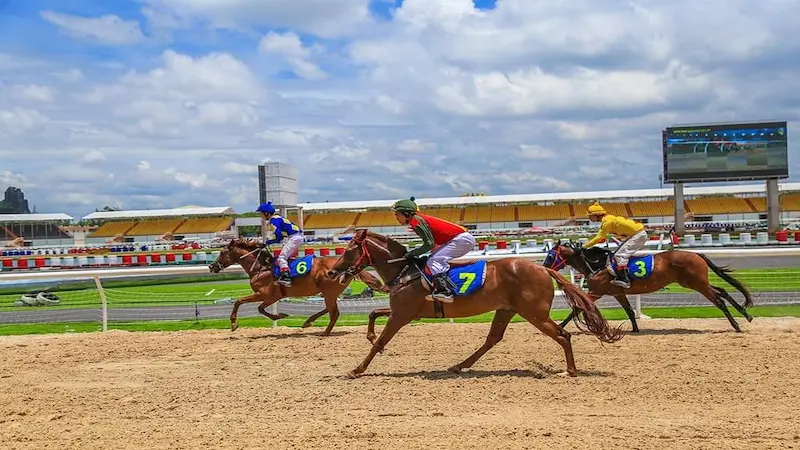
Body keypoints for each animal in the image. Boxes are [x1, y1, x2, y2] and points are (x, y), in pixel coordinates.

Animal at [208, 239, 388, 335]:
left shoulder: (267, 295)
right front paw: (280, 315)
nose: (211, 266)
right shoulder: (271, 297)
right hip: (329, 291)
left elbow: (241, 301)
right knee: (329, 309)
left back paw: (324, 332)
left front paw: (234, 324)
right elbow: (258, 308)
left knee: (334, 313)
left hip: (329, 291)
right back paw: (308, 322)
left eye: (223, 253)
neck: (260, 268)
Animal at [325, 229, 624, 378]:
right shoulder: (406, 311)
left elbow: (379, 342)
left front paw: (356, 370)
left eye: (350, 250)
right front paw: (369, 336)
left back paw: (570, 371)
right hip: (507, 310)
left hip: (535, 314)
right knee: (492, 339)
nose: (331, 272)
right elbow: (374, 314)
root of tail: (542, 268)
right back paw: (459, 365)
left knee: (563, 335)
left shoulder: (402, 314)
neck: (405, 271)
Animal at [542, 241, 754, 332]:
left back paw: (736, 325)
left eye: (551, 255)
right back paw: (746, 314)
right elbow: (628, 310)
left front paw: (559, 325)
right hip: (696, 283)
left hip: (697, 284)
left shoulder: (597, 292)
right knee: (723, 292)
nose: (543, 267)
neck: (597, 265)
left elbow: (577, 308)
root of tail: (696, 254)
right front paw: (635, 329)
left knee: (718, 300)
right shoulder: (617, 292)